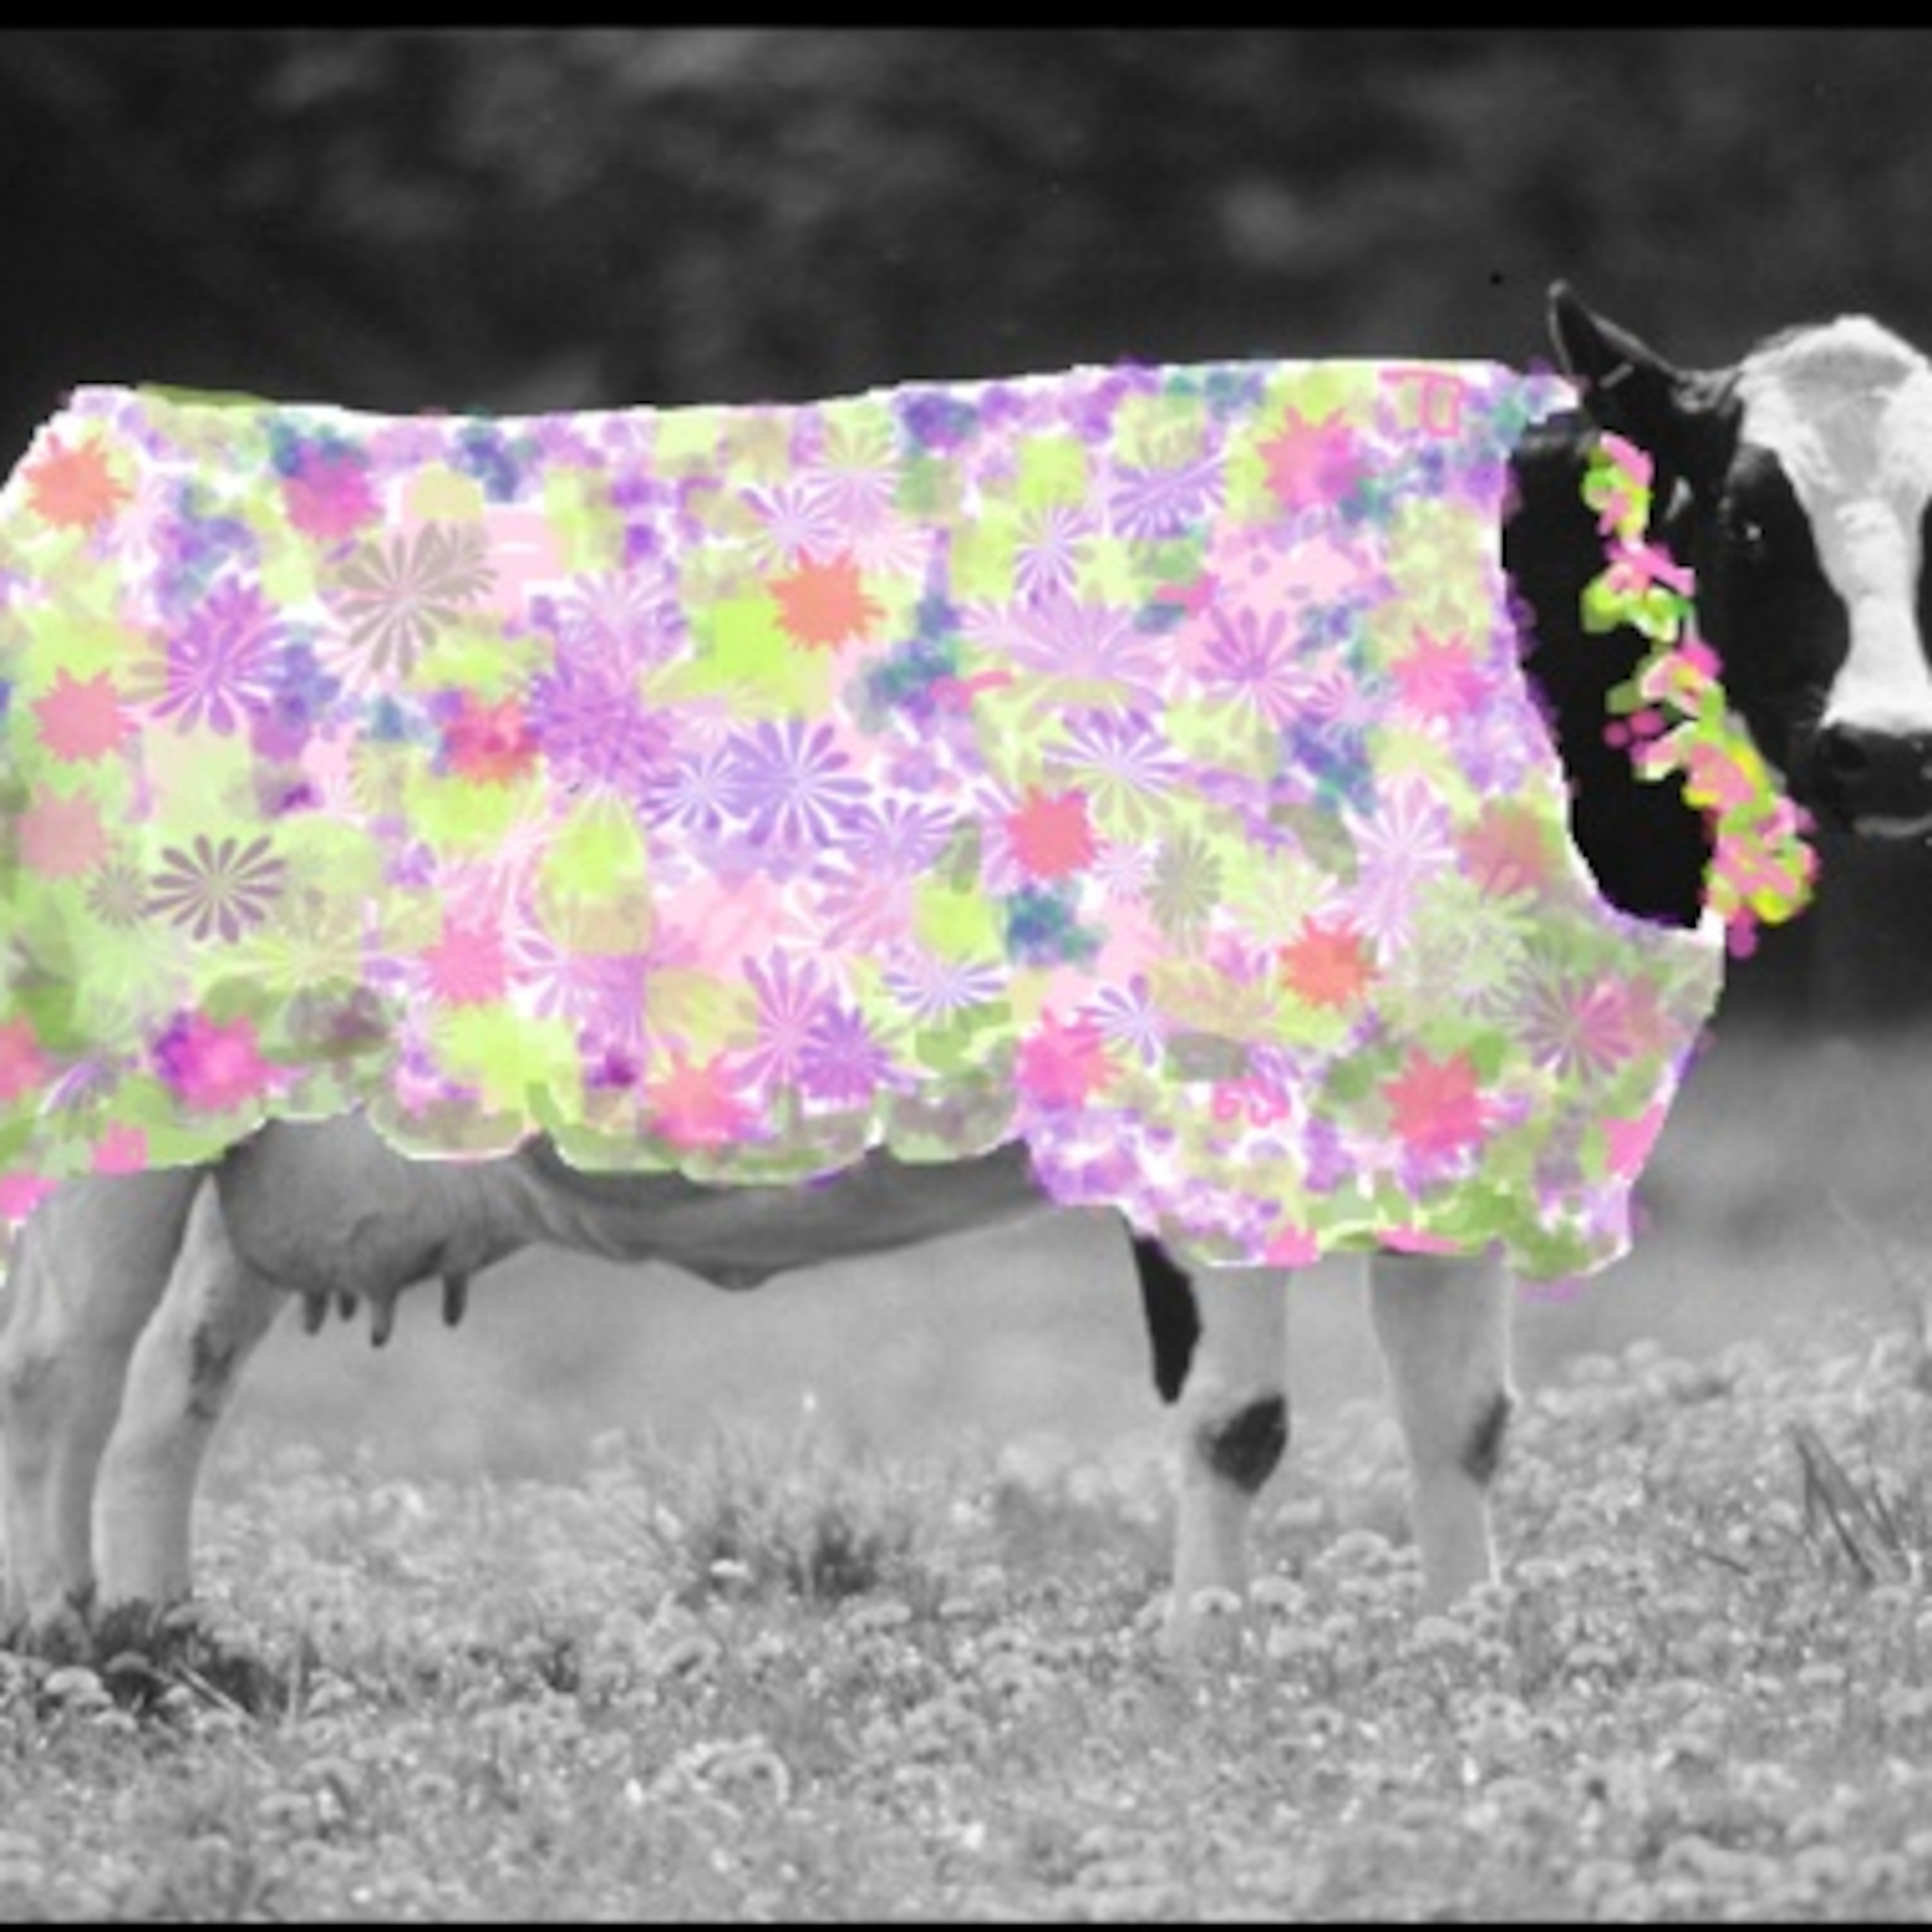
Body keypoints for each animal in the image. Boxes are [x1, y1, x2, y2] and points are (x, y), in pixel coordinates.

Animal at [4, 282, 1925, 1664]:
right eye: (1751, 516)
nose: (1889, 748)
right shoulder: (1196, 1102)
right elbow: (1238, 1419)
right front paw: (1209, 1656)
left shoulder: (1461, 1112)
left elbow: (1464, 1420)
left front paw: (1477, 1651)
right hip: (110, 1096)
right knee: (62, 1366)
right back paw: (62, 1650)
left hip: (278, 1131)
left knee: (172, 1378)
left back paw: (165, 1636)